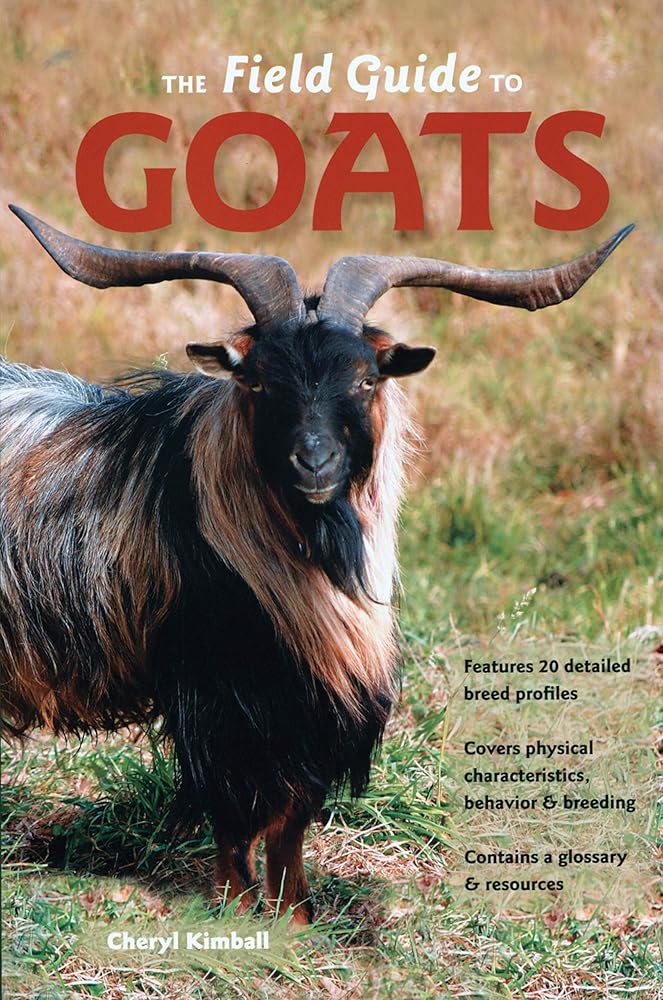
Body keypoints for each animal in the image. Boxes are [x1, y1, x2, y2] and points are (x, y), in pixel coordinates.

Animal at [0, 206, 632, 922]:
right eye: (259, 380)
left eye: (365, 377)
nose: (315, 462)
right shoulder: (218, 699)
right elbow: (234, 816)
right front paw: (238, 911)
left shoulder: (305, 711)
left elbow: (291, 819)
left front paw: (296, 917)